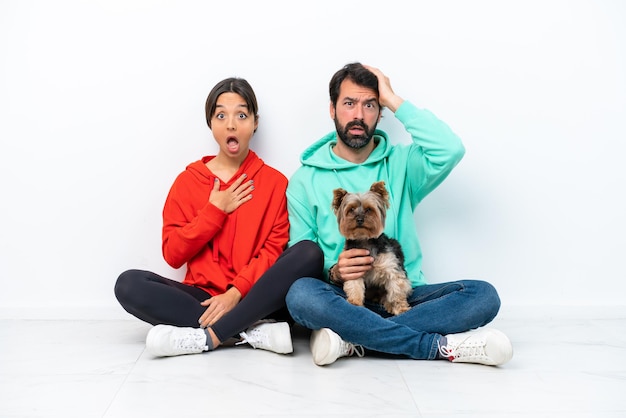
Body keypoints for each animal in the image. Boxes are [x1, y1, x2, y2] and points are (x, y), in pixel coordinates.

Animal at [330, 181, 412, 316]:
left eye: (369, 209)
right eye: (351, 210)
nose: (359, 219)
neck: (364, 240)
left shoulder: (391, 268)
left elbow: (396, 291)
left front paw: (401, 308)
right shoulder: (353, 268)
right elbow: (354, 286)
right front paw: (355, 303)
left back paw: (389, 305)